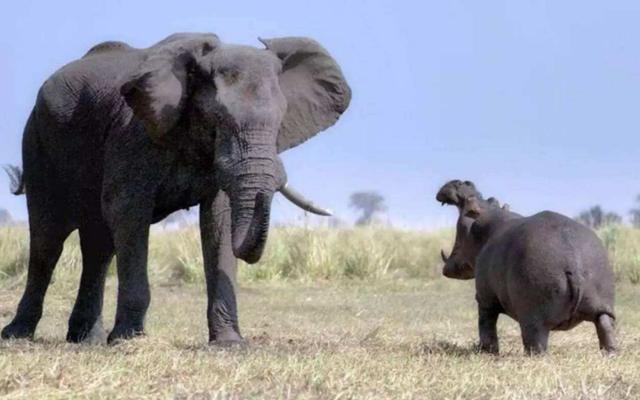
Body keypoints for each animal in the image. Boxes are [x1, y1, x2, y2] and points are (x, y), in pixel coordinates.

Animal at [1, 32, 350, 344]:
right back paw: (19, 336)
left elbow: (218, 220)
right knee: (48, 239)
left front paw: (230, 343)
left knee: (98, 245)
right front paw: (128, 340)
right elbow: (127, 210)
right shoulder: (134, 134)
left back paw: (86, 340)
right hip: (38, 142)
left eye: (280, 122)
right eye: (217, 118)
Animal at [436, 180, 616, 354]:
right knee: (605, 326)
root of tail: (573, 261)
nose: (463, 182)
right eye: (492, 199)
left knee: (535, 343)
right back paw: (610, 353)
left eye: (469, 204)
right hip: (602, 305)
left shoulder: (484, 298)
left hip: (533, 319)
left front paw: (487, 351)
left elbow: (486, 324)